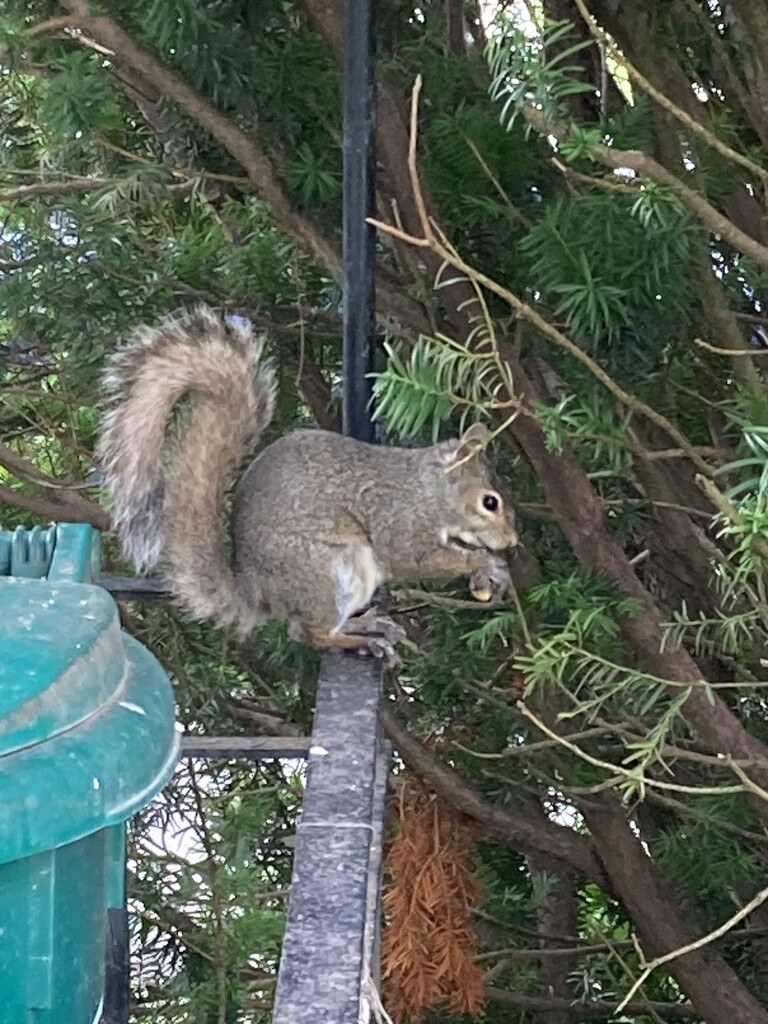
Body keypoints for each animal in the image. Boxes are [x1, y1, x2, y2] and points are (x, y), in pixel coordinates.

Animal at [96, 303, 518, 663]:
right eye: (490, 502)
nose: (512, 541)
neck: (427, 490)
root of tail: (256, 592)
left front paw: (494, 568)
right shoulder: (397, 519)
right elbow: (410, 558)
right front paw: (483, 561)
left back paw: (366, 623)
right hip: (327, 571)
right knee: (309, 633)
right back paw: (358, 639)